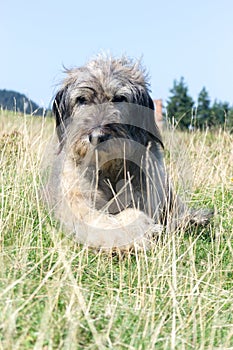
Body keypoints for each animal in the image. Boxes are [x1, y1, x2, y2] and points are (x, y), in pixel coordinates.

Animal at [45, 54, 211, 250]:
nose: (97, 136)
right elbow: (98, 220)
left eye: (119, 98)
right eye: (81, 99)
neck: (109, 170)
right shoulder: (78, 200)